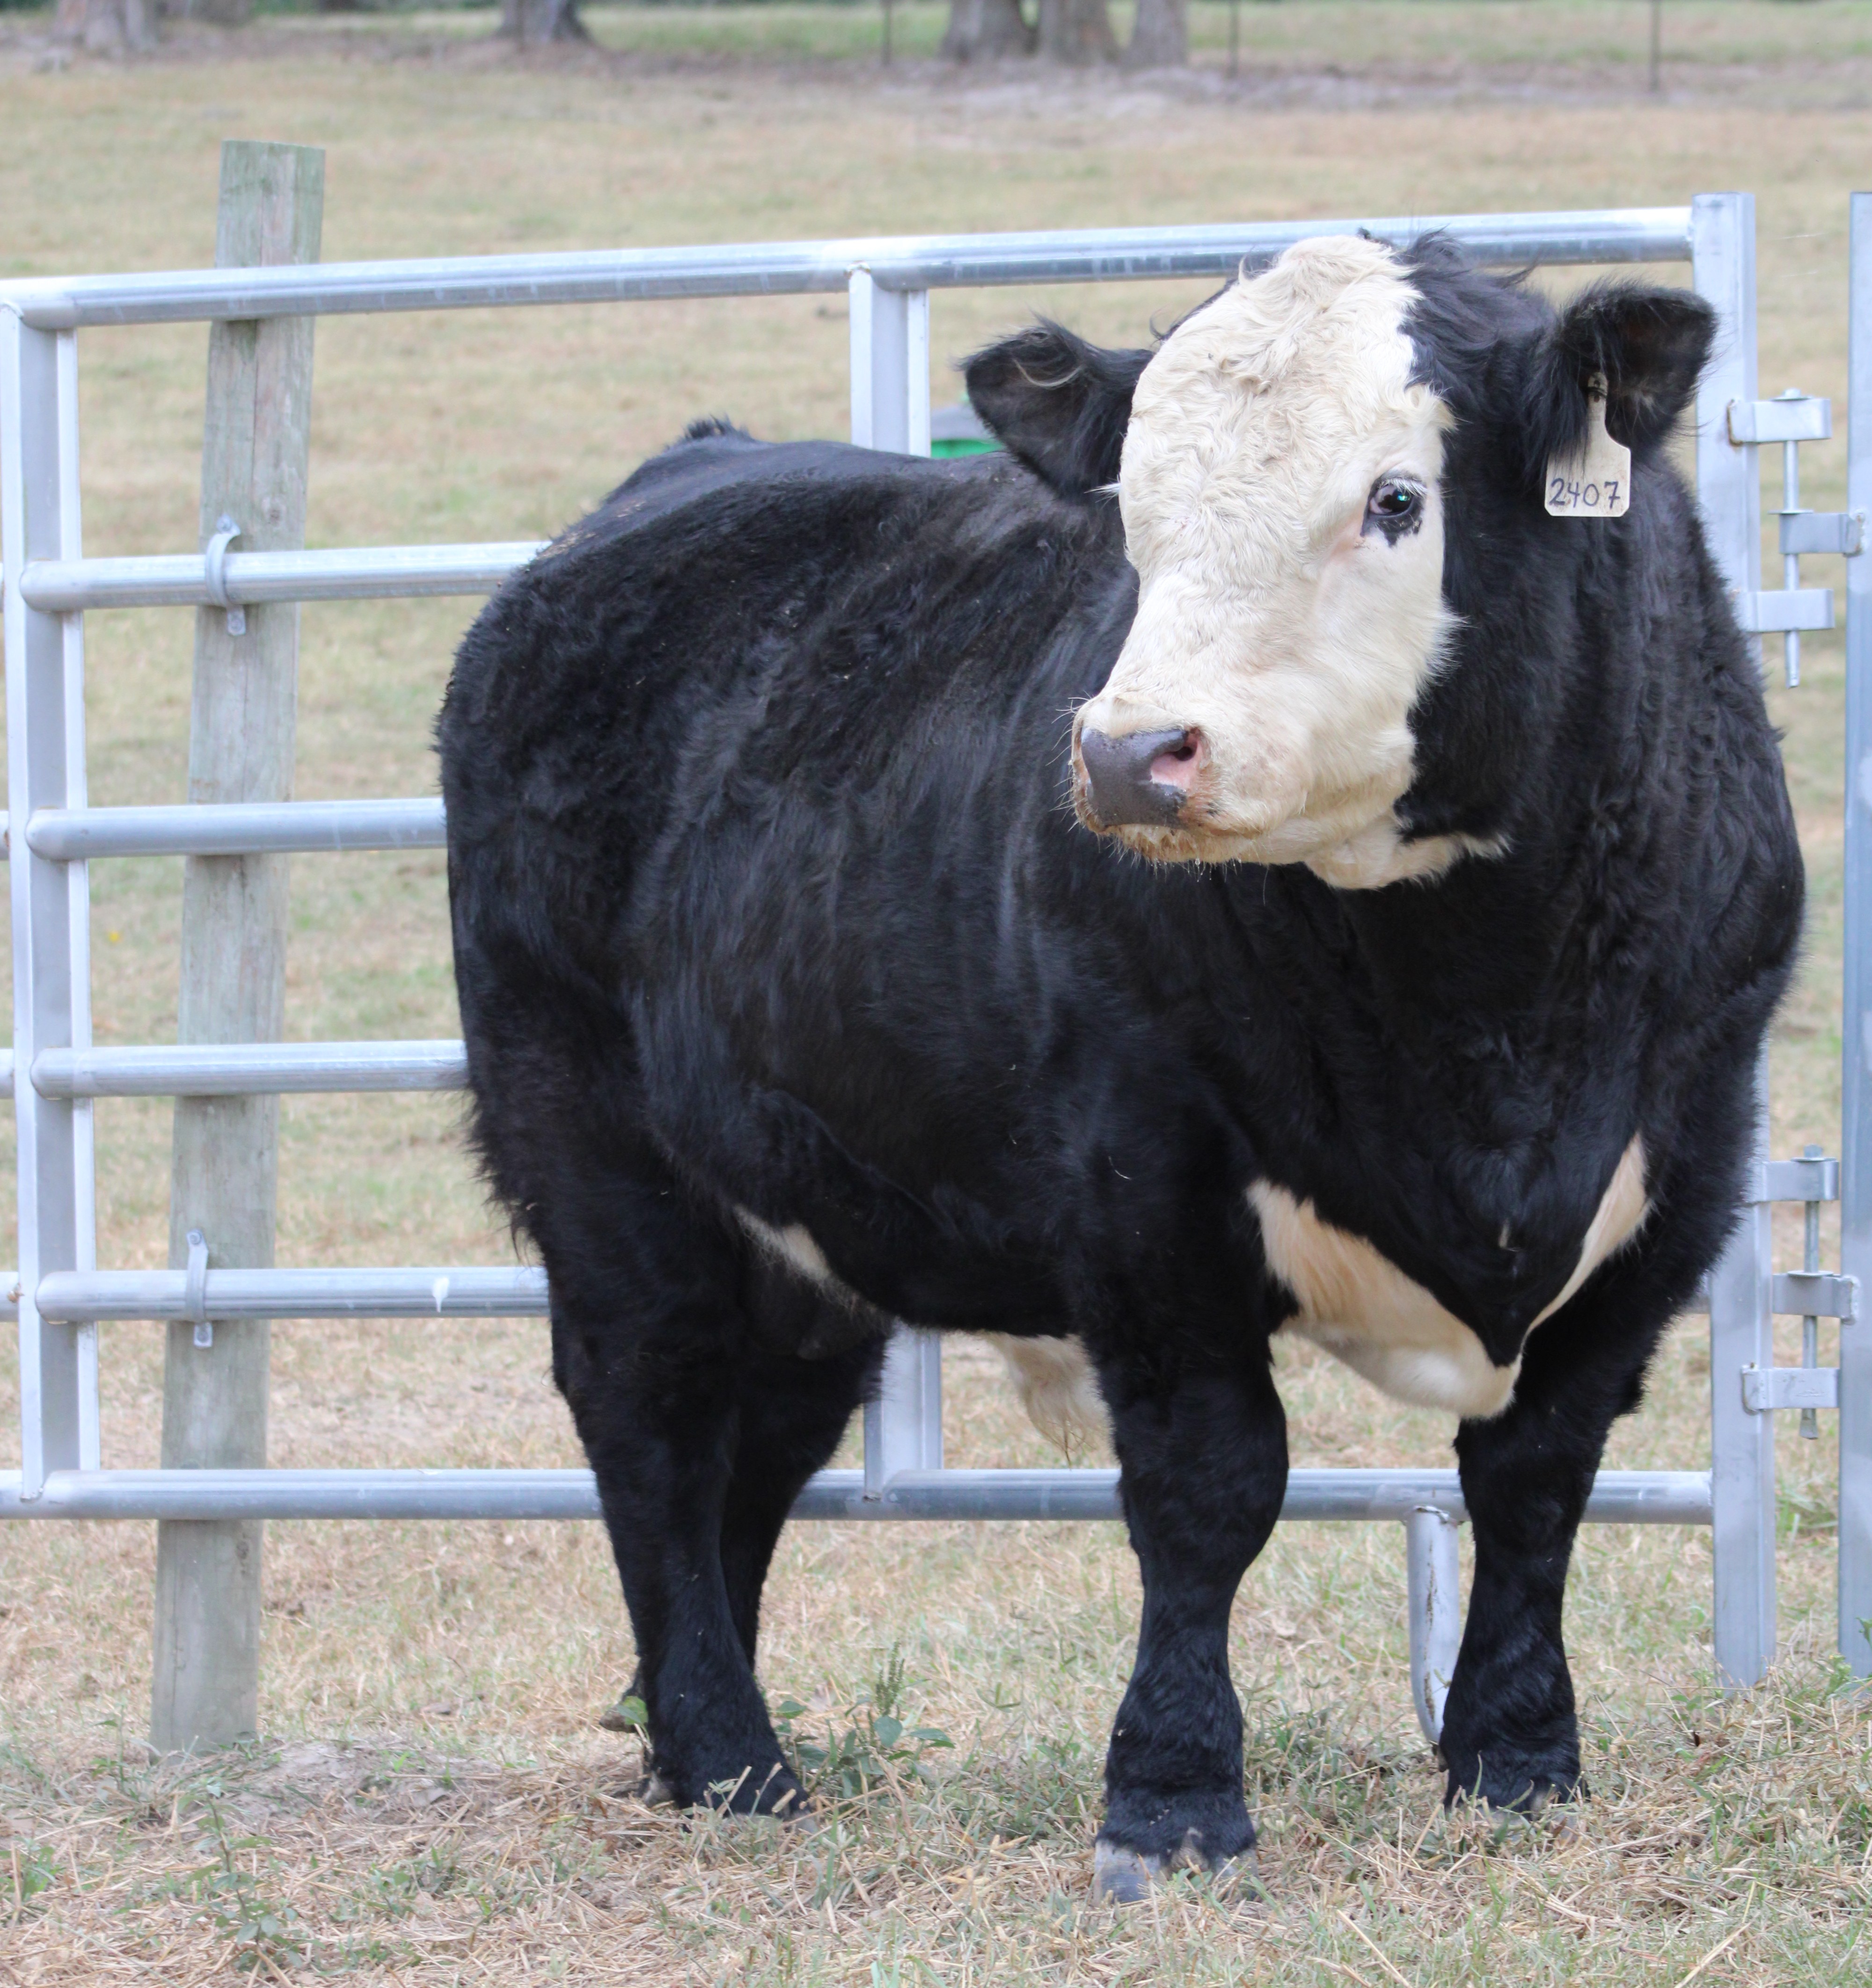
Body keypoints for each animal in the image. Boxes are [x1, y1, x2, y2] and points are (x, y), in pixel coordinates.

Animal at [437, 234, 1802, 1901]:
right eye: (1133, 514)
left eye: (1394, 499)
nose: (1127, 752)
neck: (1487, 1026)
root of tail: (685, 473)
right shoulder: (1147, 1183)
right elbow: (1210, 1488)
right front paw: (1171, 1801)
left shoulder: (1680, 1171)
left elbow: (1539, 1472)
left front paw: (1517, 1760)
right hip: (593, 1146)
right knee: (649, 1419)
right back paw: (731, 1757)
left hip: (804, 1222)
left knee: (751, 1451)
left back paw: (684, 1747)